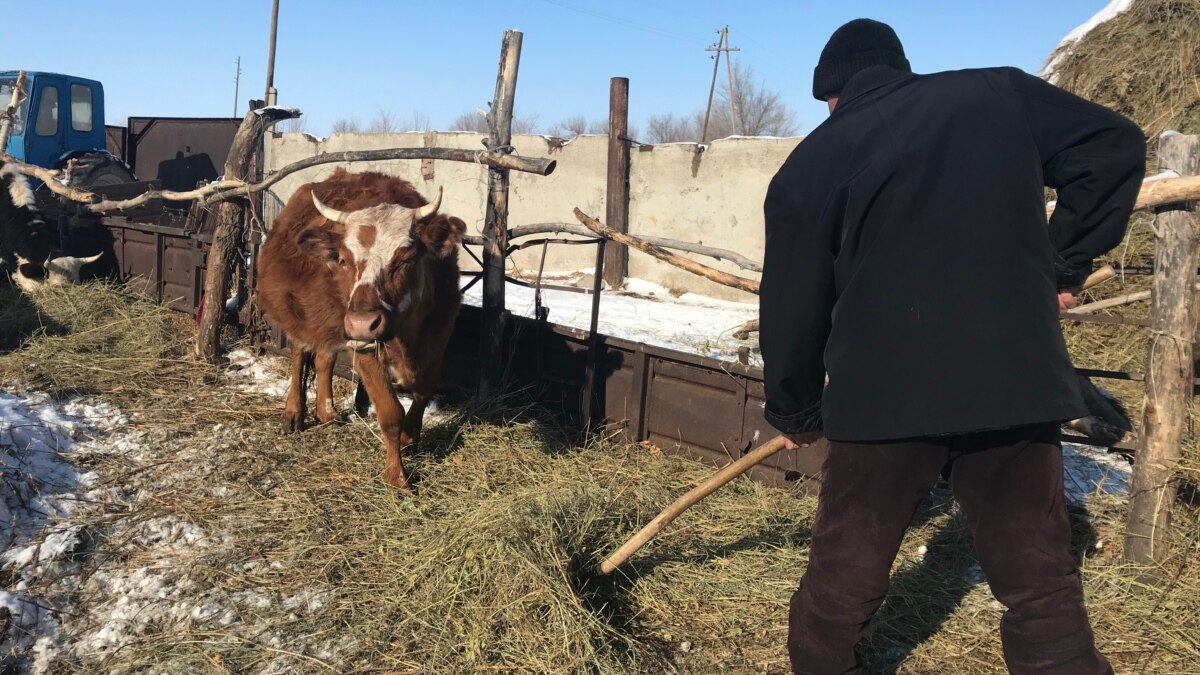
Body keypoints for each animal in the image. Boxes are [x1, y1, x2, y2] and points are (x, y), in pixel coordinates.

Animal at [255, 165, 465, 485]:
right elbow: (390, 413)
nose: (362, 323)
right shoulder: (365, 349)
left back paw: (327, 412)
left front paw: (410, 437)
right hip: (302, 315)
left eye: (405, 259)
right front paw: (396, 476)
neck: (407, 337)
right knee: (299, 354)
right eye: (343, 260)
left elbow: (424, 390)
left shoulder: (440, 335)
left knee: (324, 359)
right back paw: (293, 413)